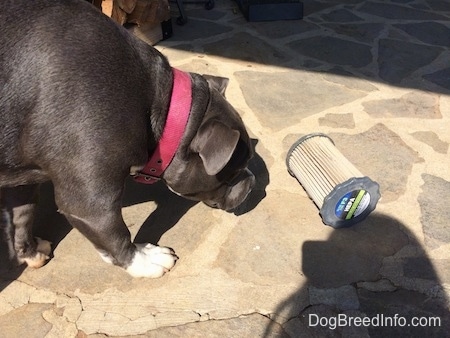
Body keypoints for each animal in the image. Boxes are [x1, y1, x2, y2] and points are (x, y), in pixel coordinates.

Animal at [0, 0, 255, 278]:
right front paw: (144, 259)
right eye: (234, 171)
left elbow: (23, 214)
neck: (164, 106)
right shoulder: (90, 203)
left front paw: (31, 252)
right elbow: (115, 233)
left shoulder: (22, 177)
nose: (252, 182)